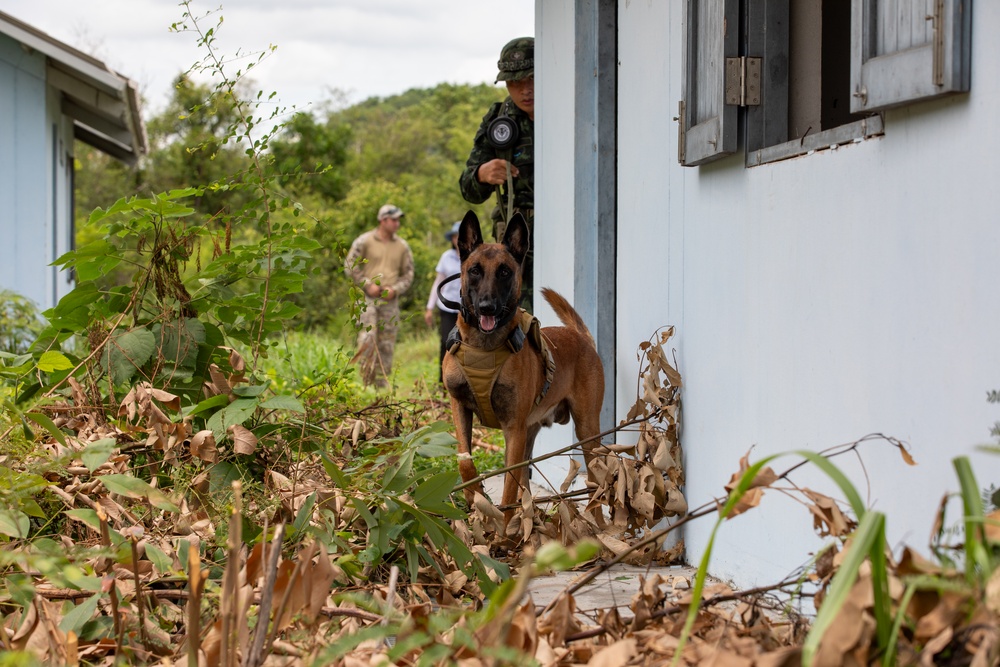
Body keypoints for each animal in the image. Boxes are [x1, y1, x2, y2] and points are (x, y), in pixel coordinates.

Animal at [444, 211, 600, 516]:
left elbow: (508, 485)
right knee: (525, 480)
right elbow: (465, 460)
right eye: (474, 270)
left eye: (505, 271)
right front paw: (474, 496)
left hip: (587, 429)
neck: (484, 347)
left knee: (597, 479)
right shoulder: (459, 407)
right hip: (530, 431)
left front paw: (500, 521)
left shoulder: (513, 428)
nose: (487, 307)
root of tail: (580, 336)